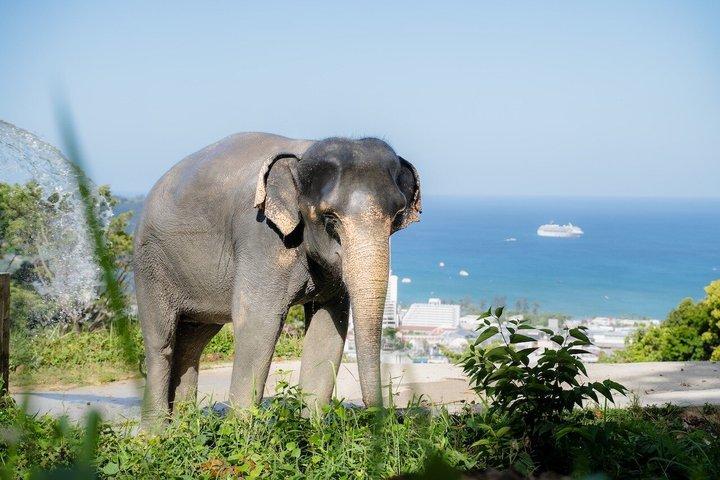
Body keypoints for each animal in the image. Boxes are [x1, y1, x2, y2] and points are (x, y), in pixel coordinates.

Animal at [134, 132, 421, 427]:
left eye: (397, 216)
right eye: (330, 220)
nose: (391, 418)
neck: (302, 156)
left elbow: (328, 328)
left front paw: (311, 428)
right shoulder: (261, 235)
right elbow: (258, 321)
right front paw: (241, 430)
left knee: (193, 342)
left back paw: (184, 425)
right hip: (151, 265)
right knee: (161, 342)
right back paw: (156, 432)